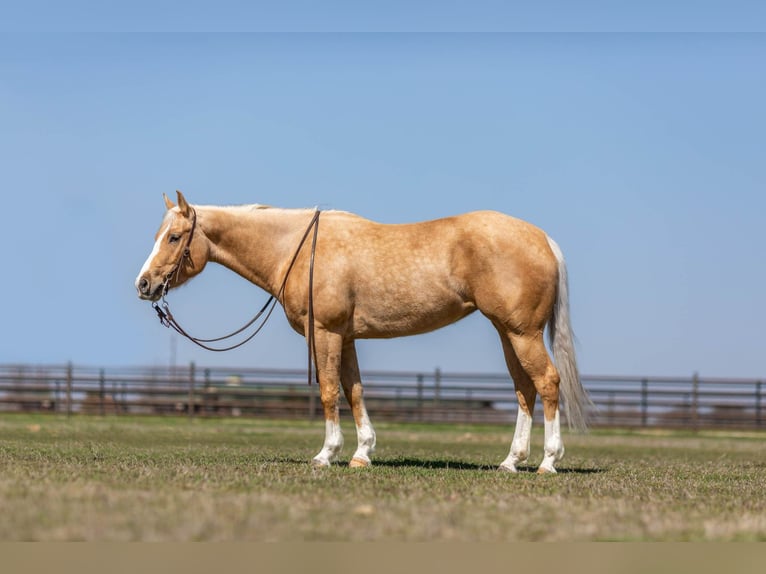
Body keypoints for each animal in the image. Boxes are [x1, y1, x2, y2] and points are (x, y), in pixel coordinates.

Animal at [136, 191, 592, 474]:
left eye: (174, 237)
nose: (143, 284)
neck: (298, 249)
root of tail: (542, 239)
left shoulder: (324, 333)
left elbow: (328, 392)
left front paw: (326, 454)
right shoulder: (347, 336)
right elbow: (353, 391)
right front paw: (362, 453)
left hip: (522, 332)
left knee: (546, 383)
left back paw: (548, 461)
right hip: (507, 332)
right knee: (524, 389)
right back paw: (511, 461)